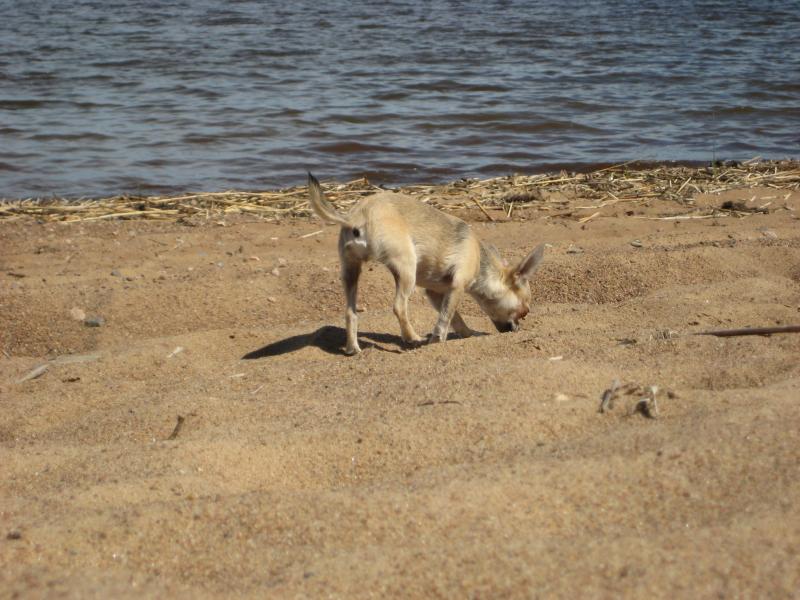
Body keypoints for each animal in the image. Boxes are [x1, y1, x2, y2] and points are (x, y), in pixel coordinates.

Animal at [307, 173, 545, 354]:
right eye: (524, 312)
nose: (517, 329)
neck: (481, 264)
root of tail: (355, 217)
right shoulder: (457, 287)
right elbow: (445, 319)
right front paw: (437, 341)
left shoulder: (436, 292)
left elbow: (454, 318)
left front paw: (467, 336)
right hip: (406, 268)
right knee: (399, 306)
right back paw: (412, 337)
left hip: (351, 269)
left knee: (350, 312)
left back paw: (352, 348)